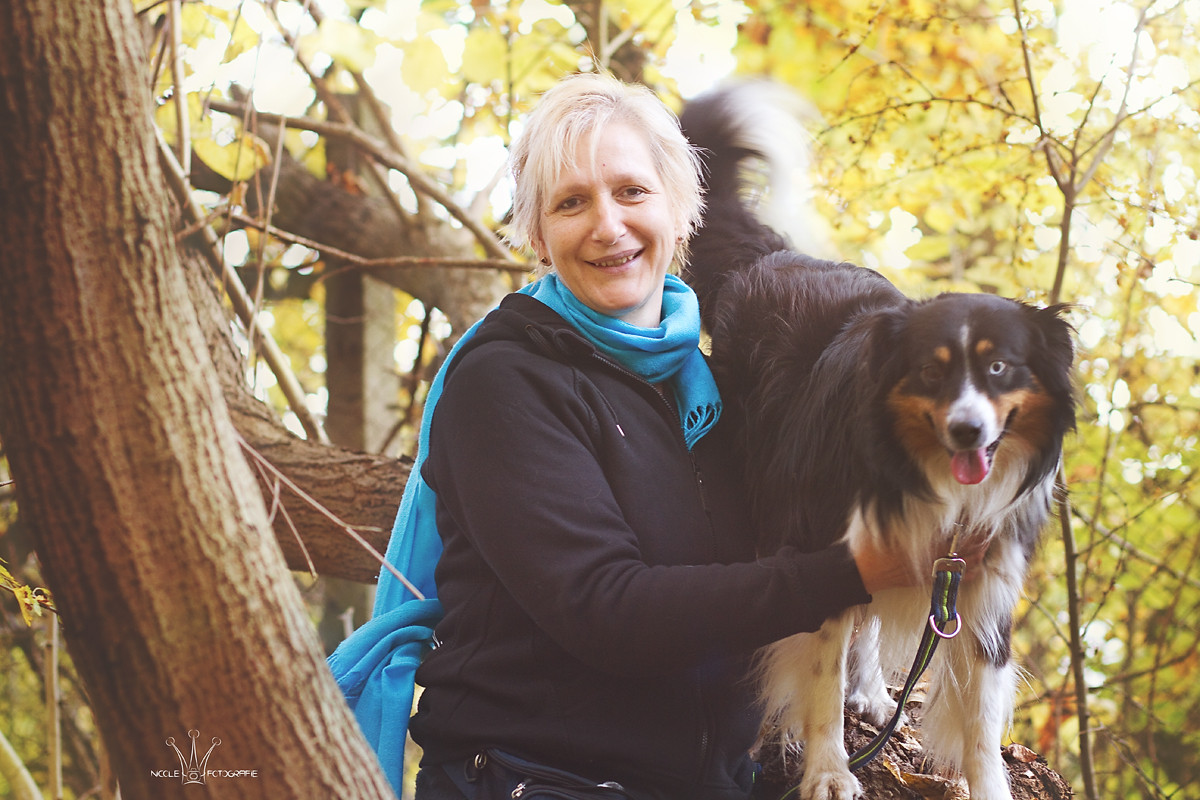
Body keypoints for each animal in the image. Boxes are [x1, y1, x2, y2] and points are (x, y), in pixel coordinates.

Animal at [676, 82, 1080, 800]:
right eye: (931, 371)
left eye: (1000, 368)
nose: (968, 430)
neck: (939, 489)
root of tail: (772, 254)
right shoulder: (813, 540)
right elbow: (817, 673)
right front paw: (829, 771)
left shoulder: (983, 588)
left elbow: (981, 722)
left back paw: (868, 690)